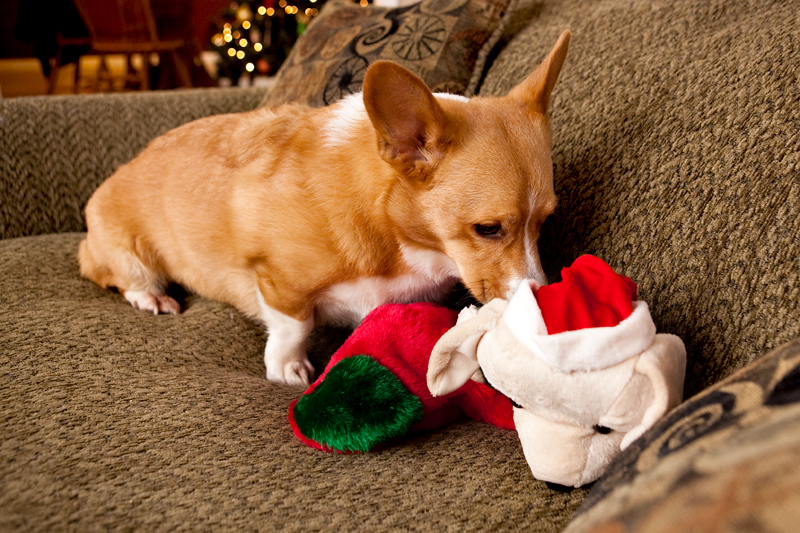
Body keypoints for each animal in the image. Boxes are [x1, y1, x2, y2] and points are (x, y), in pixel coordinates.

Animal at [78, 30, 572, 386]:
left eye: (545, 222)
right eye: (487, 228)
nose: (543, 301)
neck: (389, 231)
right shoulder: (278, 280)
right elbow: (292, 327)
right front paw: (287, 370)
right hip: (130, 253)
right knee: (122, 277)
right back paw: (151, 296)